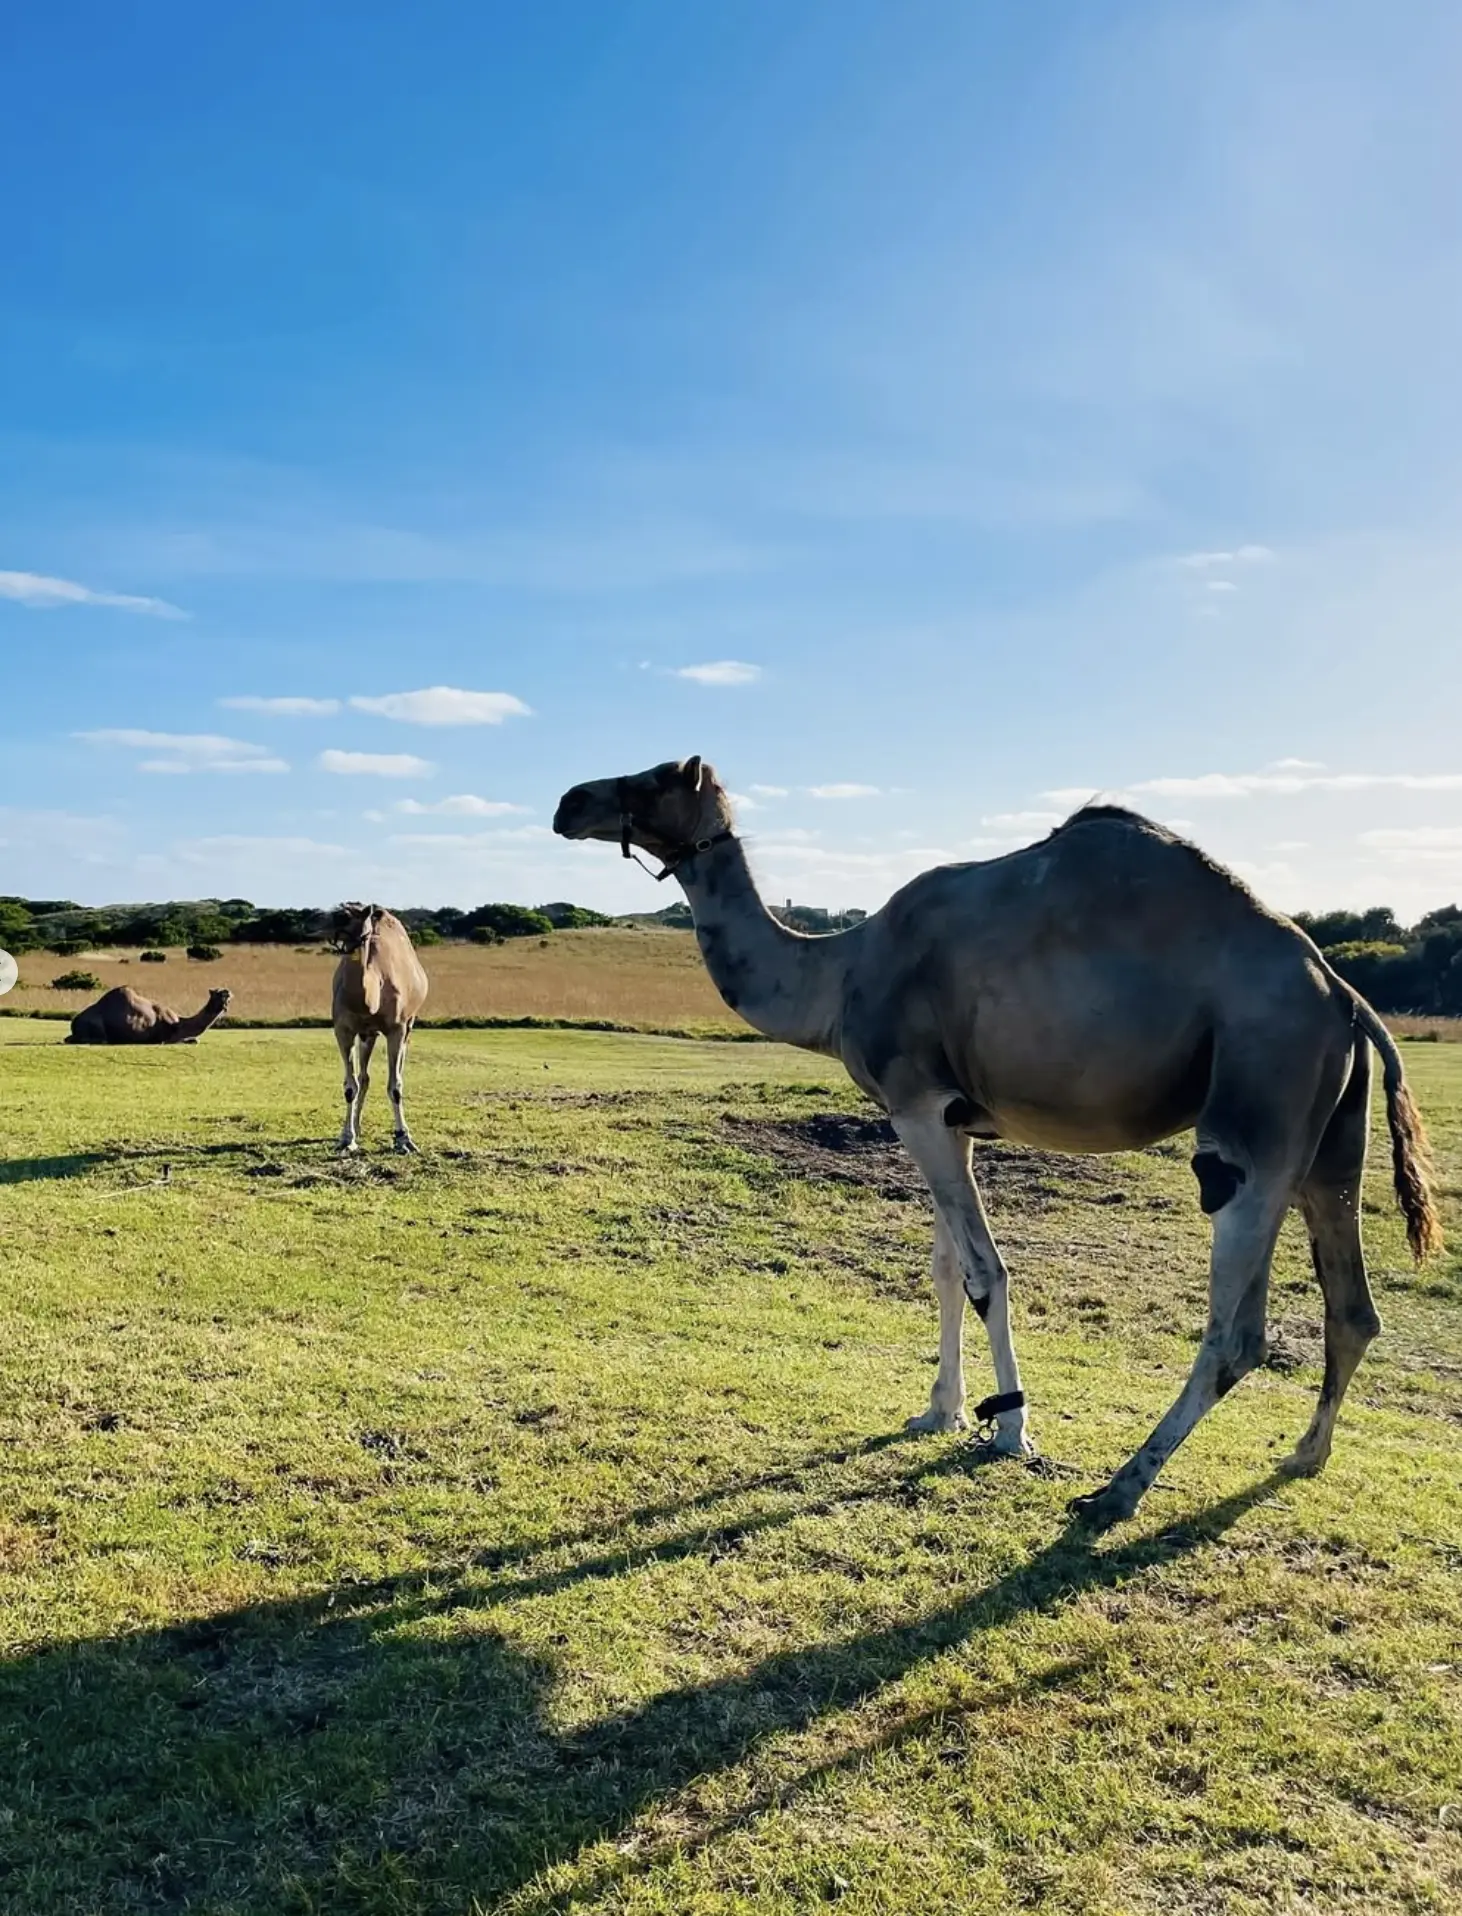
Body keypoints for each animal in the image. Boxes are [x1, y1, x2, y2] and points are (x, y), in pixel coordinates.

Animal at [68, 988, 231, 1049]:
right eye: (218, 993)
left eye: (224, 993)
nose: (228, 992)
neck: (180, 1023)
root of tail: (74, 1021)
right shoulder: (167, 1038)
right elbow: (192, 1040)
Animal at [329, 900, 425, 1149]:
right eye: (336, 916)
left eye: (347, 917)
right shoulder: (343, 1029)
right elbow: (350, 1086)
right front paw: (347, 1137)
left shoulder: (397, 1028)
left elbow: (395, 1086)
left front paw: (403, 1138)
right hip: (367, 1034)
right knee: (364, 1077)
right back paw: (358, 1125)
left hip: (409, 1025)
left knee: (398, 1070)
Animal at [555, 758, 1440, 1525]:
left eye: (653, 777)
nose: (569, 801)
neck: (838, 975)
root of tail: (1344, 992)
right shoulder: (951, 1120)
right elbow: (945, 1271)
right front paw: (940, 1411)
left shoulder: (916, 1103)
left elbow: (986, 1274)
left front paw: (1010, 1428)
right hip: (1330, 1136)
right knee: (1352, 1309)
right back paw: (1302, 1456)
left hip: (1255, 1106)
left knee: (1237, 1331)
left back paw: (1119, 1490)